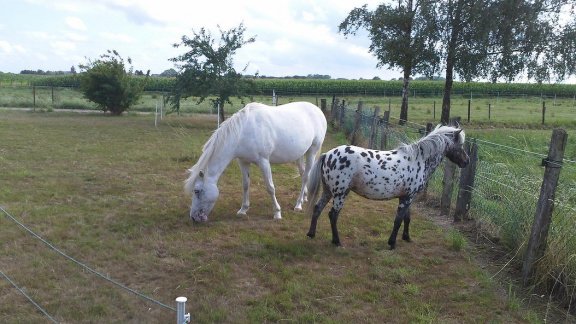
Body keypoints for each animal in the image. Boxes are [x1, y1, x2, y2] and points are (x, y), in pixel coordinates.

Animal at [186, 102, 326, 221]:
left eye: (196, 191)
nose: (193, 217)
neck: (242, 132)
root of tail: (317, 110)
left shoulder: (264, 162)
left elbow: (270, 187)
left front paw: (277, 213)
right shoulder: (243, 162)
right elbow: (245, 185)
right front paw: (243, 210)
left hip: (312, 151)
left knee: (306, 176)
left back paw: (298, 205)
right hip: (300, 154)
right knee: (303, 174)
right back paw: (304, 198)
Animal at [306, 125, 468, 249]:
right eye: (460, 145)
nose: (467, 161)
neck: (418, 160)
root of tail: (328, 155)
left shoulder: (408, 197)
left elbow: (407, 218)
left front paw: (407, 238)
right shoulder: (407, 198)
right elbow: (398, 220)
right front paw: (392, 243)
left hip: (328, 191)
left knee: (317, 208)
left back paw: (311, 234)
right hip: (340, 194)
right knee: (333, 215)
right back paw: (337, 241)